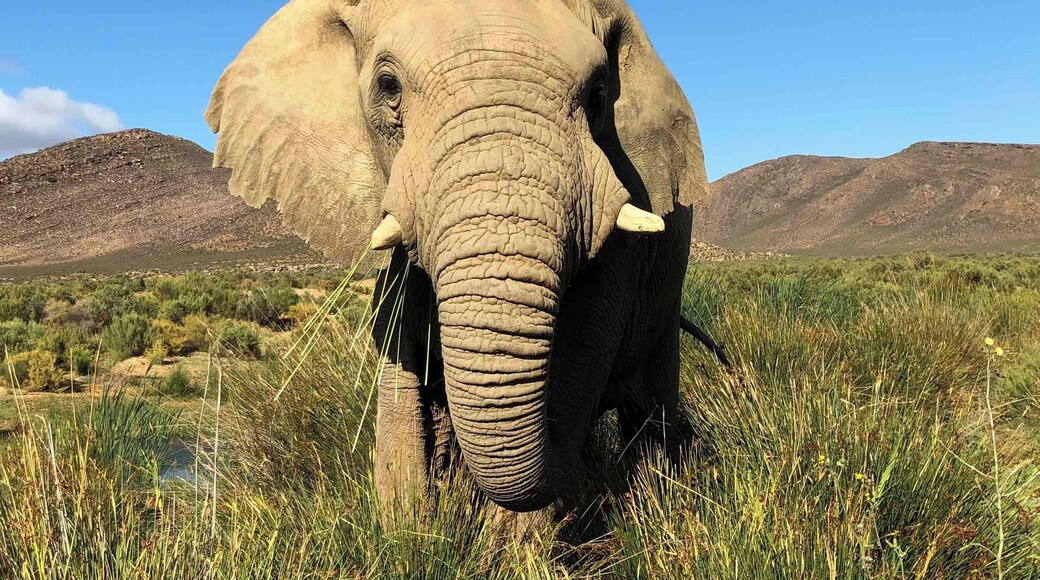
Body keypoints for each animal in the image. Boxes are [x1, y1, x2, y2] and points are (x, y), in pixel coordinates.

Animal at [206, 0, 710, 513]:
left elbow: (577, 364)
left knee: (649, 411)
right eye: (389, 87)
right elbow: (401, 379)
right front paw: (411, 526)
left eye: (599, 95)